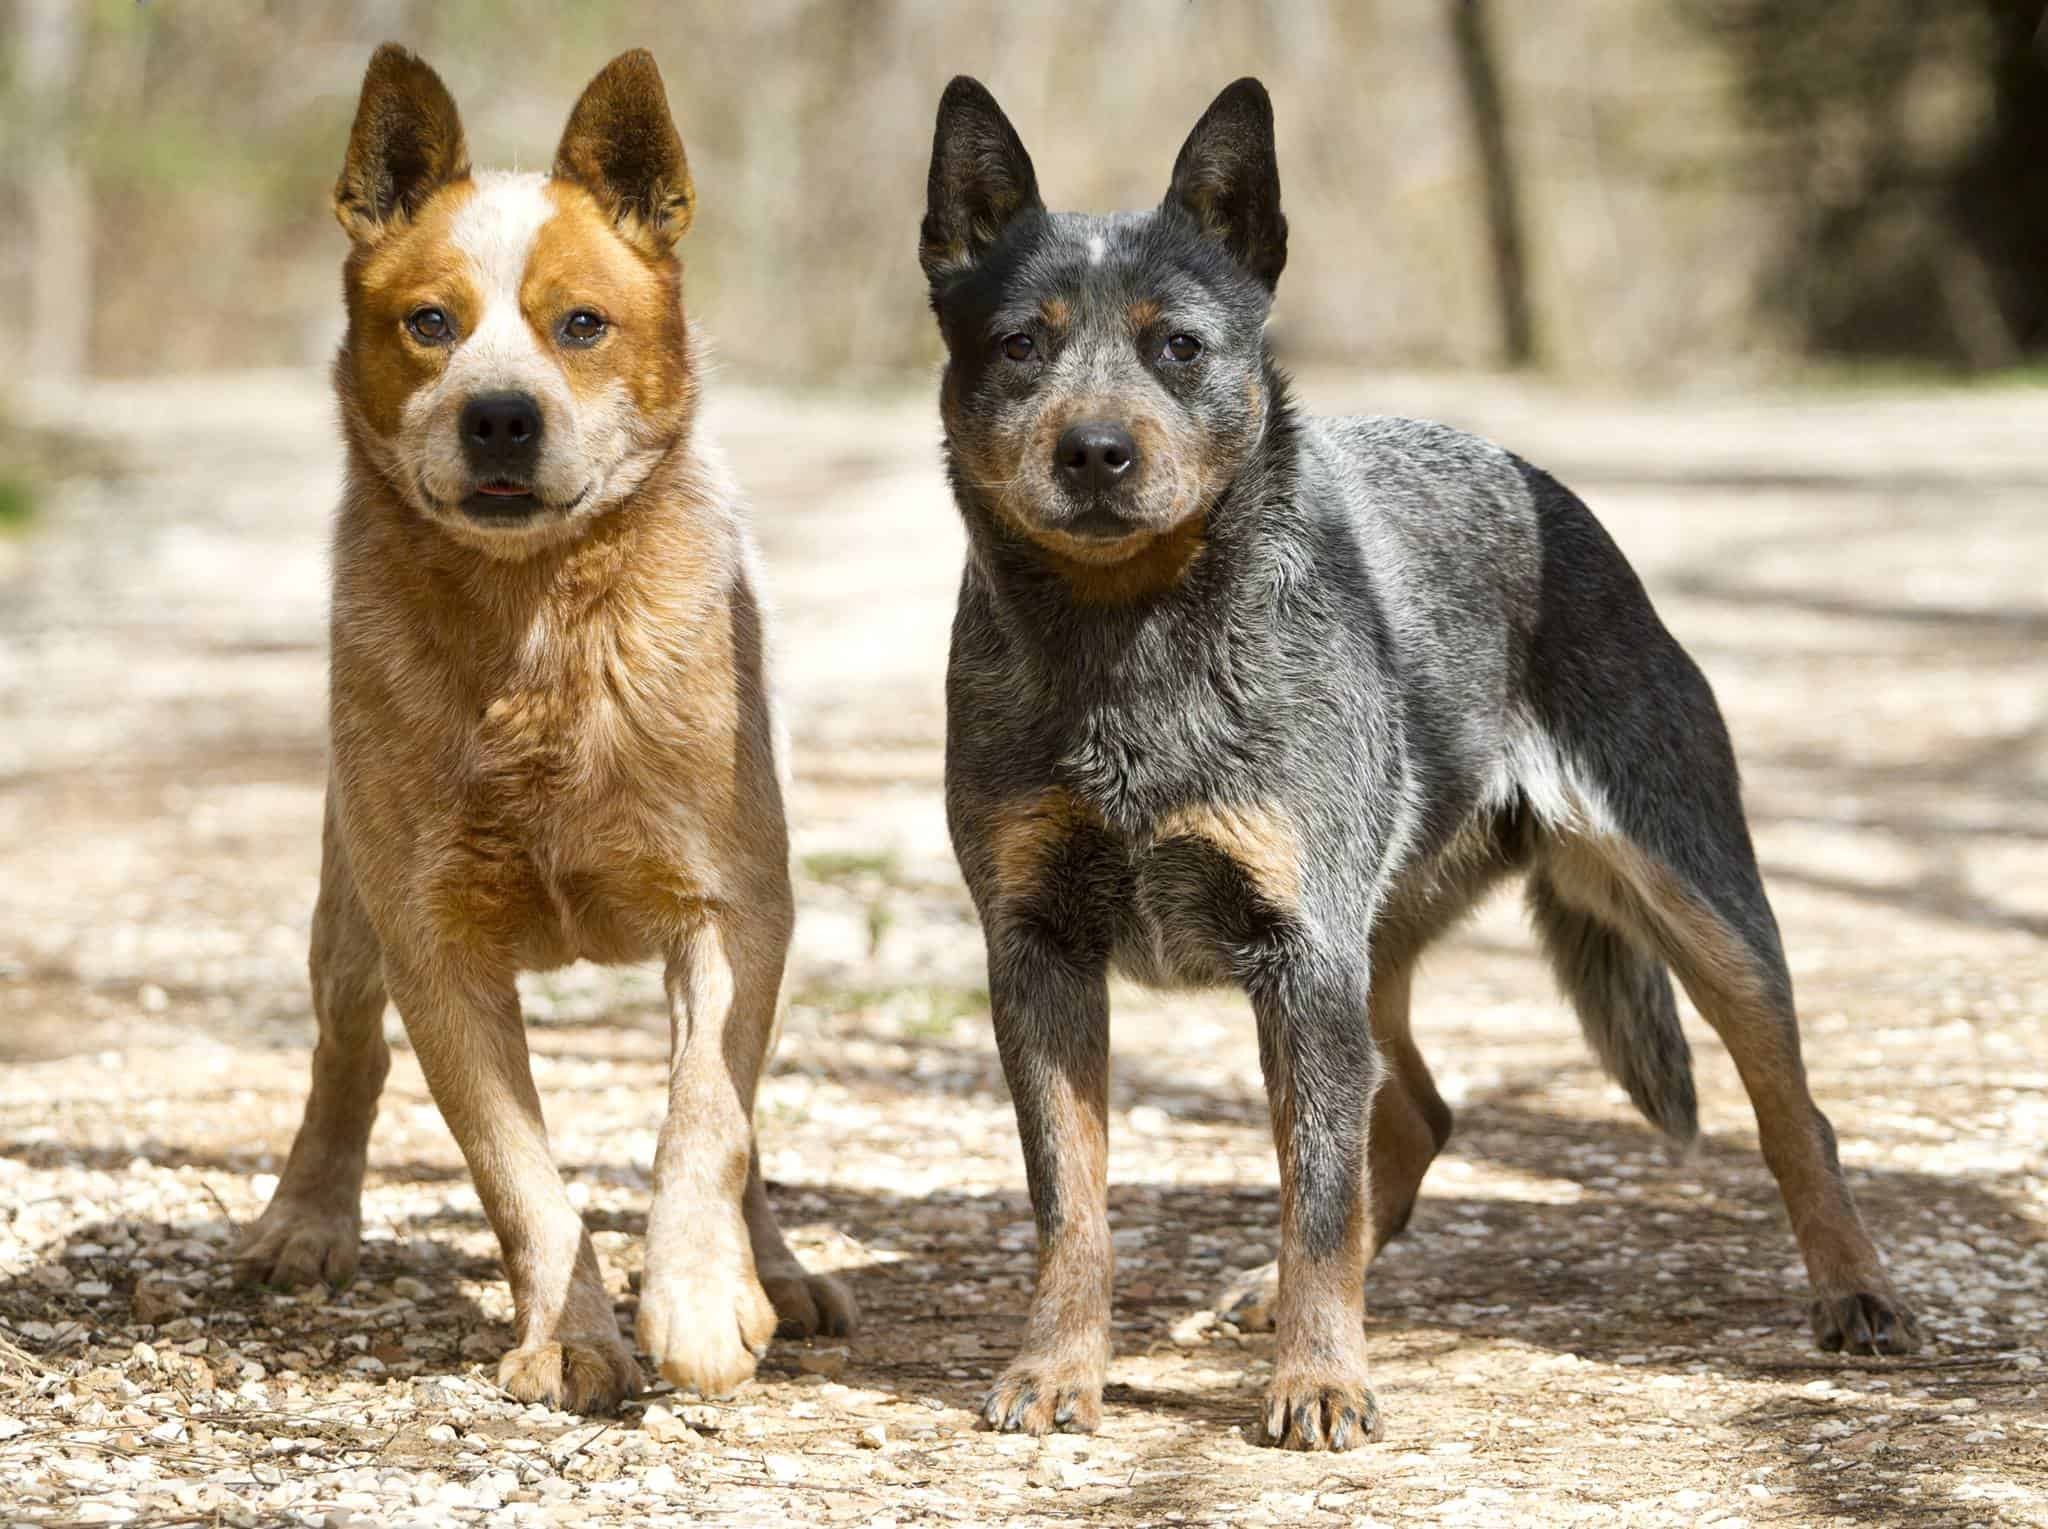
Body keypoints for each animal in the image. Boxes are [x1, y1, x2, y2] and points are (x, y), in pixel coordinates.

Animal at [921, 74, 1908, 1457]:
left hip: (1691, 902)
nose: (1096, 451)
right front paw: (1059, 1366)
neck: (1131, 645)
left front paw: (1319, 1380)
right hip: (1375, 943)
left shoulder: (1299, 953)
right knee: (1418, 1111)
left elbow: (1317, 1192)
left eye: (1179, 346)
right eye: (1020, 344)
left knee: (1790, 1111)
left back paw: (1854, 1289)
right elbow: (1072, 1200)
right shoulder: (1040, 950)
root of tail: (1541, 486)